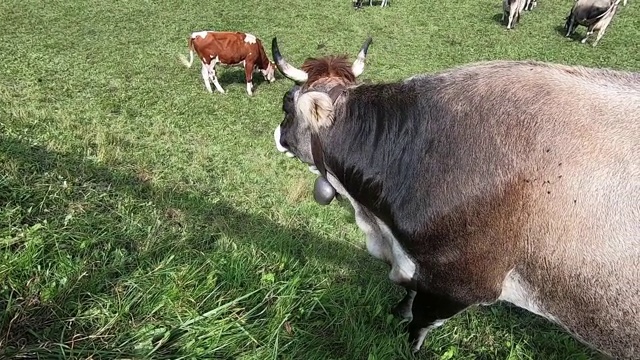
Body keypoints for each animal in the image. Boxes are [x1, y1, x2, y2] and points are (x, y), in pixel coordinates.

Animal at [272, 36, 640, 358]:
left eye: (286, 102)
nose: (277, 134)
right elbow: (408, 296)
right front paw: (396, 312)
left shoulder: (459, 283)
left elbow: (419, 323)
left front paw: (407, 345)